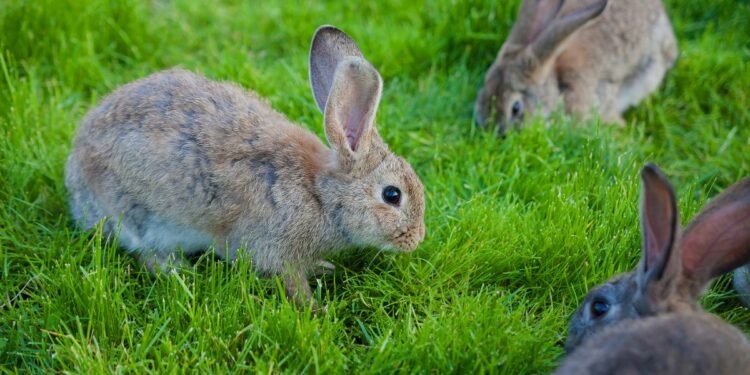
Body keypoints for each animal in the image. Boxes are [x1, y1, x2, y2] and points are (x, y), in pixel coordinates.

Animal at [63, 27, 428, 308]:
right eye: (392, 195)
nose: (417, 239)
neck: (320, 194)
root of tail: (75, 172)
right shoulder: (275, 249)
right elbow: (291, 282)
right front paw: (317, 310)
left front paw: (323, 268)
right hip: (138, 215)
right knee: (147, 253)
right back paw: (182, 273)